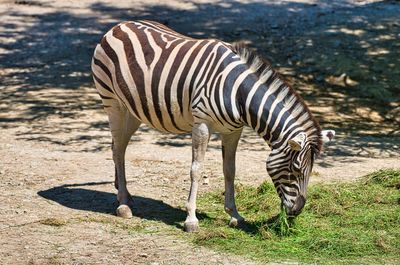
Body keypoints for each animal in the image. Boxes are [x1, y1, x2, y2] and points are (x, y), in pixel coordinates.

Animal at [90, 20, 334, 231]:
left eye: (311, 171)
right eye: (295, 169)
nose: (297, 212)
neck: (238, 93)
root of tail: (120, 25)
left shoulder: (234, 131)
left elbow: (230, 170)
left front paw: (235, 215)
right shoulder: (202, 125)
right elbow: (196, 170)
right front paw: (191, 219)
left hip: (134, 110)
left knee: (117, 146)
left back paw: (124, 193)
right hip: (113, 103)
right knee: (118, 149)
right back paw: (123, 204)